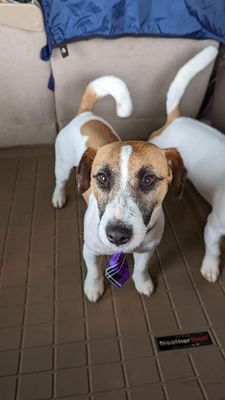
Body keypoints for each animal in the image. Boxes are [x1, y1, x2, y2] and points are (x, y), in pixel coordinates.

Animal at [53, 74, 186, 300]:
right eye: (102, 178)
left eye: (149, 179)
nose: (116, 235)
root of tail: (85, 114)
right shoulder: (90, 250)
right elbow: (93, 271)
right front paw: (93, 286)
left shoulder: (146, 251)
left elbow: (140, 269)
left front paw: (143, 282)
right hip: (62, 166)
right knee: (60, 182)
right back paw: (58, 196)